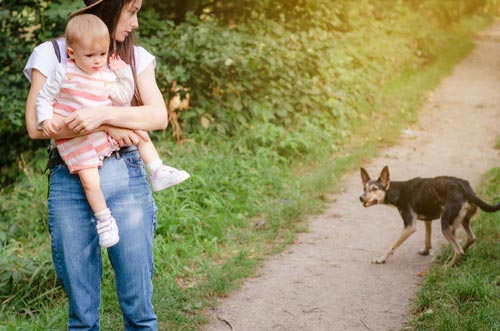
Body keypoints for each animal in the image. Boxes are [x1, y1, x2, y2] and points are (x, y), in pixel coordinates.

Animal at [360, 166, 500, 268]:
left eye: (374, 189)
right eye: (364, 188)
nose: (360, 197)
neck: (398, 191)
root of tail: (467, 190)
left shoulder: (409, 226)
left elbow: (392, 245)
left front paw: (381, 259)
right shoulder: (428, 220)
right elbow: (427, 238)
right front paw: (426, 251)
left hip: (446, 225)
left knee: (458, 250)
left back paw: (448, 266)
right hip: (460, 221)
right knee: (470, 238)